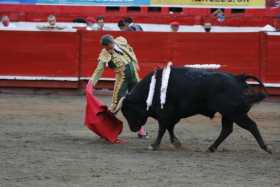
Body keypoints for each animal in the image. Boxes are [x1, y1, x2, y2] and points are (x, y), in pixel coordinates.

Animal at [117, 67, 272, 153]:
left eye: (128, 111)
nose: (133, 129)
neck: (152, 89)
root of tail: (237, 78)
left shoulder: (165, 114)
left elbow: (162, 129)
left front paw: (154, 146)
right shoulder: (172, 116)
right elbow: (169, 128)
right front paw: (176, 143)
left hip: (236, 114)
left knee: (251, 126)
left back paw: (266, 148)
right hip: (228, 114)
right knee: (227, 129)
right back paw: (211, 148)